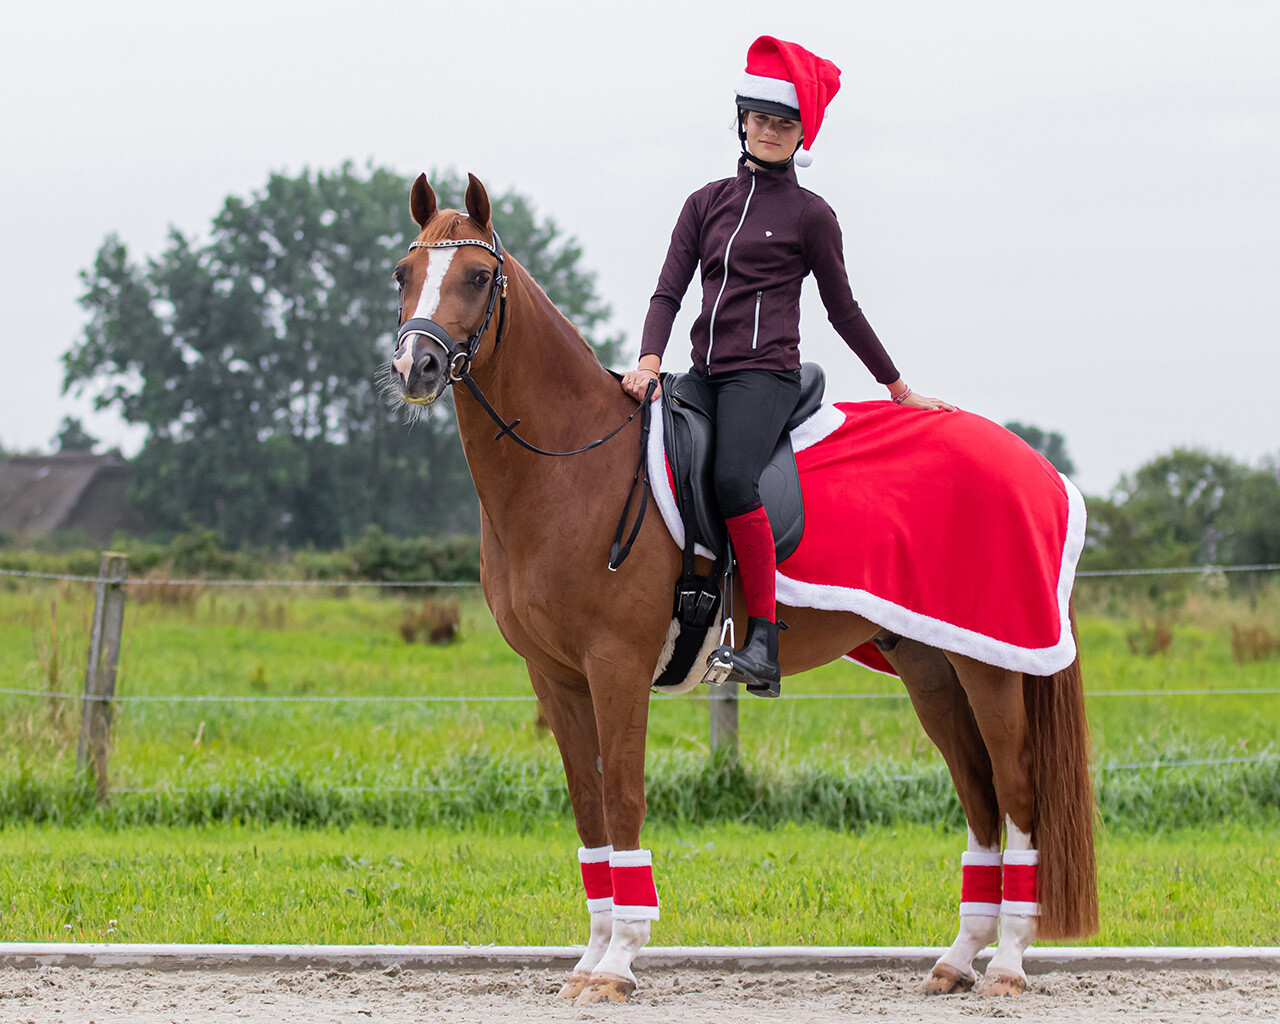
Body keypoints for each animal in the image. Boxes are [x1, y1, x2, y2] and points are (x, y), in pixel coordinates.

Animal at [384, 174, 1095, 998]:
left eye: (476, 276)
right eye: (403, 275)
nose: (415, 368)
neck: (571, 463)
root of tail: (1032, 463)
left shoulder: (617, 665)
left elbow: (623, 799)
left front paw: (619, 962)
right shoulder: (555, 676)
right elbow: (589, 811)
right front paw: (590, 959)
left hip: (990, 663)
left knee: (1016, 793)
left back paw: (1008, 962)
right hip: (929, 663)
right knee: (979, 796)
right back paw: (956, 959)